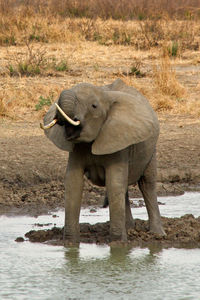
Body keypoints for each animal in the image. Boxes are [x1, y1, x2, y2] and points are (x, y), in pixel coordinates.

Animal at [41, 78, 166, 244]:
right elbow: (74, 183)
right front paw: (70, 244)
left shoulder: (119, 140)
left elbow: (114, 182)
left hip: (151, 150)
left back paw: (157, 234)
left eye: (94, 106)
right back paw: (129, 228)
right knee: (124, 188)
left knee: (147, 185)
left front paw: (118, 245)